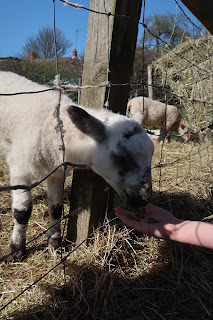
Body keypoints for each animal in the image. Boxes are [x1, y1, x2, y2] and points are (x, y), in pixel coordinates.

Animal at [0, 71, 153, 262]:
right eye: (121, 157)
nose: (144, 199)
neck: (53, 126)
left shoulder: (56, 171)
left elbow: (56, 208)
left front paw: (54, 244)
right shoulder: (20, 168)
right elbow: (22, 212)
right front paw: (16, 250)